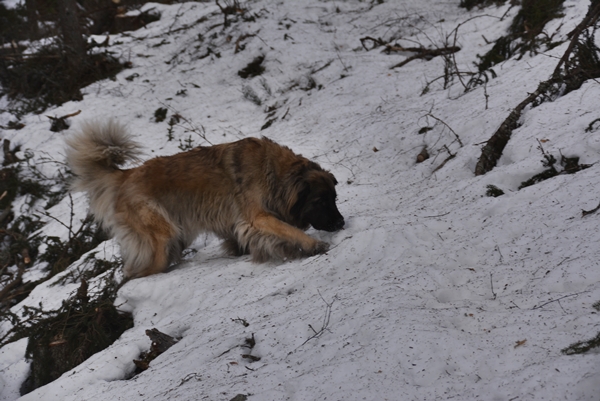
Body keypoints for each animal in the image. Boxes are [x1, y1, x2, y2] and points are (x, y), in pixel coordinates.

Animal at [65, 120, 344, 276]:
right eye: (320, 201)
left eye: (334, 198)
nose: (341, 223)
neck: (274, 172)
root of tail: (126, 175)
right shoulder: (257, 217)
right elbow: (287, 229)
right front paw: (312, 245)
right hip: (162, 235)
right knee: (136, 272)